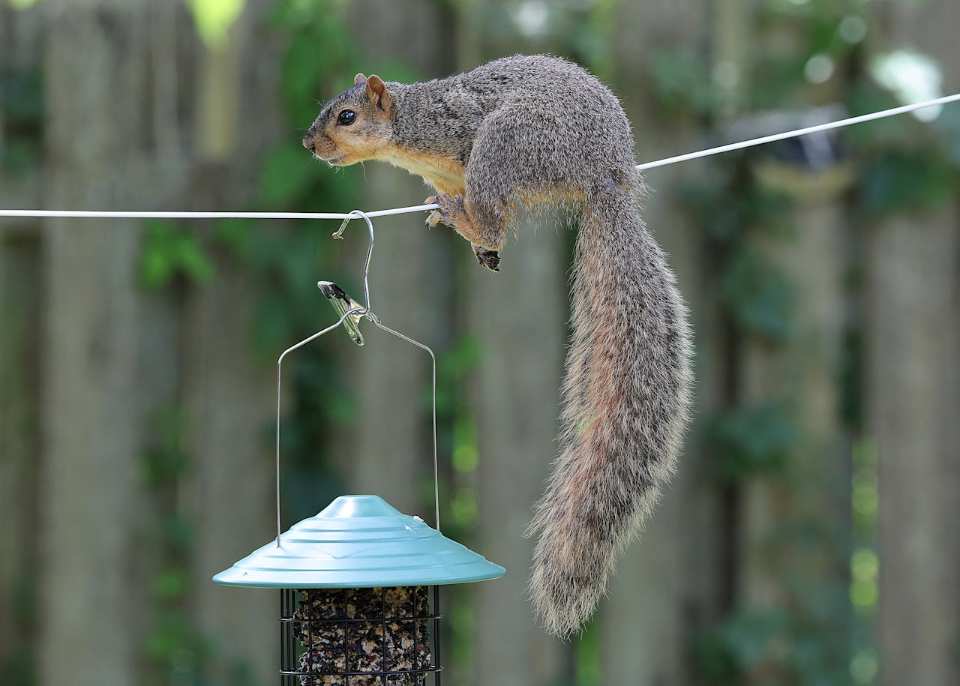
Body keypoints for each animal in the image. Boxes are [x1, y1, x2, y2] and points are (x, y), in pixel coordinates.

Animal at [302, 54, 693, 638]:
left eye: (346, 116)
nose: (309, 143)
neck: (412, 132)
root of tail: (605, 173)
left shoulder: (458, 130)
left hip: (505, 146)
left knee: (494, 216)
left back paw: (462, 219)